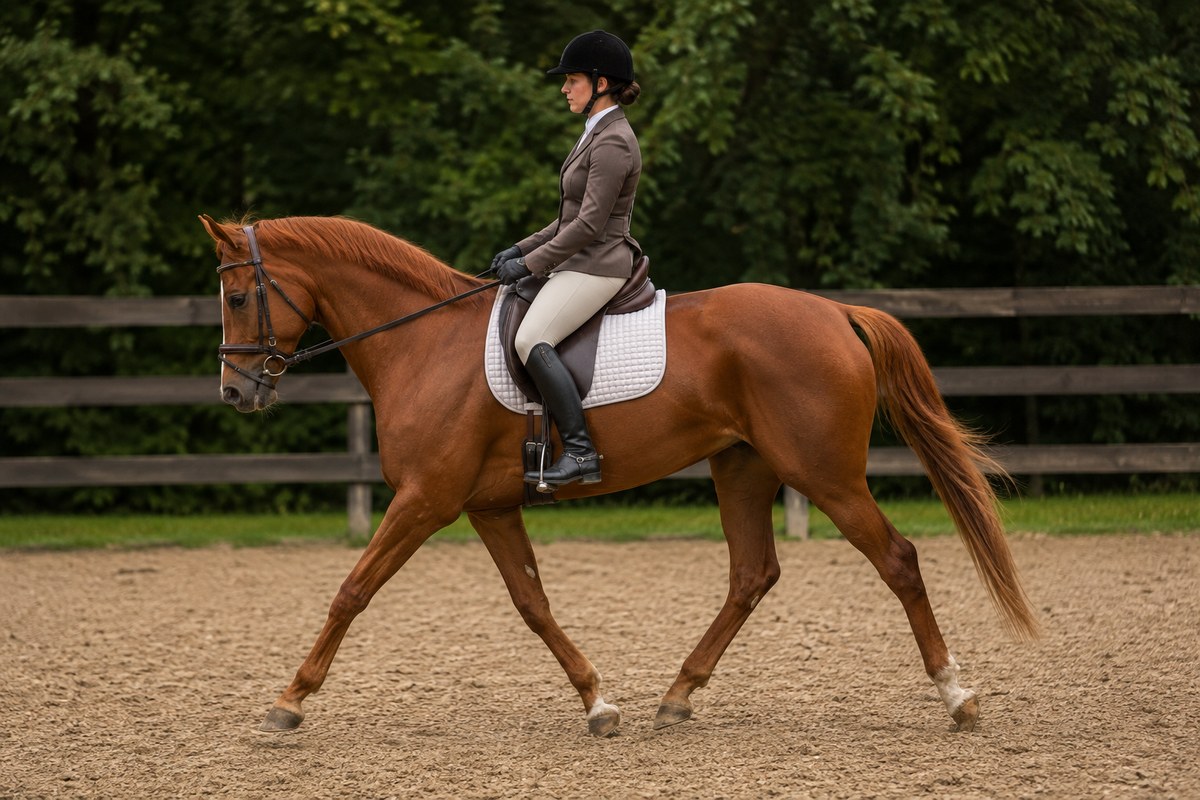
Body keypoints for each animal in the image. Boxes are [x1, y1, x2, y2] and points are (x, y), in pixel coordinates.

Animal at [200, 213, 1038, 738]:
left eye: (239, 295)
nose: (235, 395)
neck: (423, 343)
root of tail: (834, 312)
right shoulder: (488, 508)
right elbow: (533, 605)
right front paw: (598, 703)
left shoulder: (425, 501)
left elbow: (352, 590)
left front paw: (287, 703)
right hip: (742, 468)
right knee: (751, 575)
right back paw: (677, 696)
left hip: (826, 475)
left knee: (896, 559)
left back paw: (958, 696)